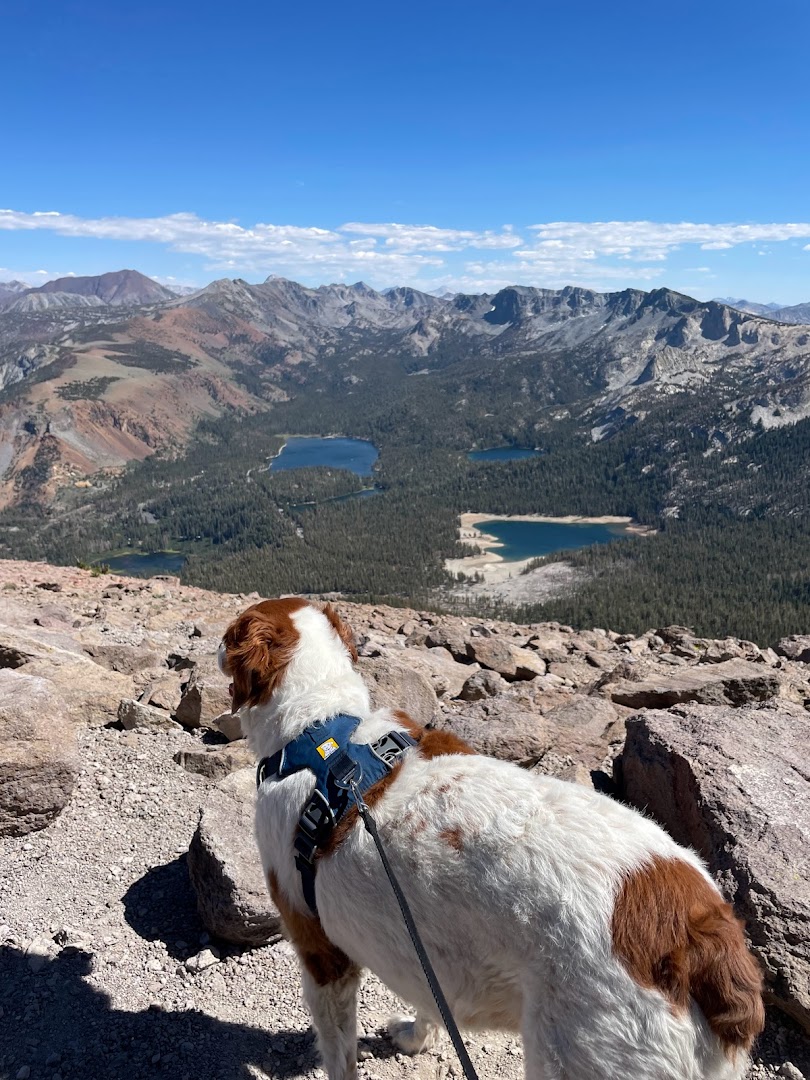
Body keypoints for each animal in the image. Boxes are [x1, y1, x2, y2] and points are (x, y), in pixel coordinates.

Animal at [219, 600, 764, 1080]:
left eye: (229, 634)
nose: (216, 649)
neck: (318, 731)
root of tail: (701, 940)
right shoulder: (421, 945)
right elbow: (431, 997)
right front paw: (417, 1037)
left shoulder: (320, 950)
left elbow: (338, 1053)